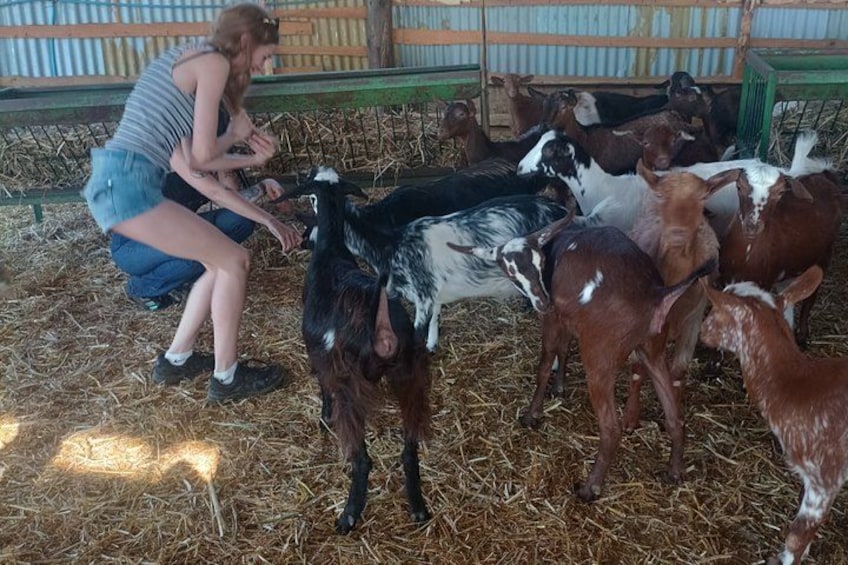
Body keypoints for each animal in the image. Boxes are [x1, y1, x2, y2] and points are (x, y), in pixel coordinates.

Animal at [300, 166, 433, 533]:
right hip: (410, 376)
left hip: (353, 383)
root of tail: (383, 331)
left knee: (363, 460)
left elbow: (323, 388)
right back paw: (417, 507)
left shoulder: (322, 357)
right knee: (409, 451)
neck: (331, 251)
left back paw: (349, 513)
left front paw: (324, 418)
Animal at [450, 217, 716, 501]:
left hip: (599, 357)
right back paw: (674, 471)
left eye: (541, 264)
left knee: (610, 428)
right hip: (653, 347)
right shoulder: (568, 318)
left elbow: (546, 361)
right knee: (674, 415)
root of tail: (656, 295)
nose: (541, 301)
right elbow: (564, 349)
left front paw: (532, 415)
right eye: (512, 273)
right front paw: (560, 387)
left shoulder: (553, 318)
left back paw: (590, 488)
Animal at [719, 165, 845, 346]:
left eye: (780, 192)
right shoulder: (723, 279)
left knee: (810, 297)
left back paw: (802, 336)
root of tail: (823, 176)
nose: (752, 225)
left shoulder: (762, 284)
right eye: (739, 187)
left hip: (824, 255)